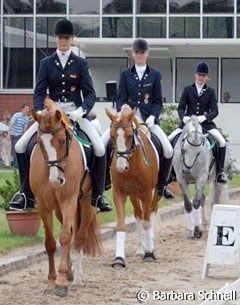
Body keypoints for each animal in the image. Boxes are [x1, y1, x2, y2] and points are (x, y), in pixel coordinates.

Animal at [30, 98, 101, 296]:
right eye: (39, 142)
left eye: (62, 140)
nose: (56, 181)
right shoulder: (43, 204)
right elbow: (50, 243)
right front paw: (51, 281)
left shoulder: (69, 200)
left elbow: (65, 237)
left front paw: (61, 283)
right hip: (59, 208)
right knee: (69, 231)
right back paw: (70, 272)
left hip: (87, 201)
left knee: (79, 236)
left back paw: (77, 278)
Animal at [106, 104, 160, 266]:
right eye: (112, 136)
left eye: (130, 136)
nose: (121, 167)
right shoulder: (119, 193)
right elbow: (121, 225)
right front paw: (119, 259)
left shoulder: (147, 194)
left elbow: (147, 222)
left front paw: (149, 254)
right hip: (134, 196)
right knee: (139, 215)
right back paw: (140, 248)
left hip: (156, 193)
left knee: (151, 212)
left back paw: (149, 244)